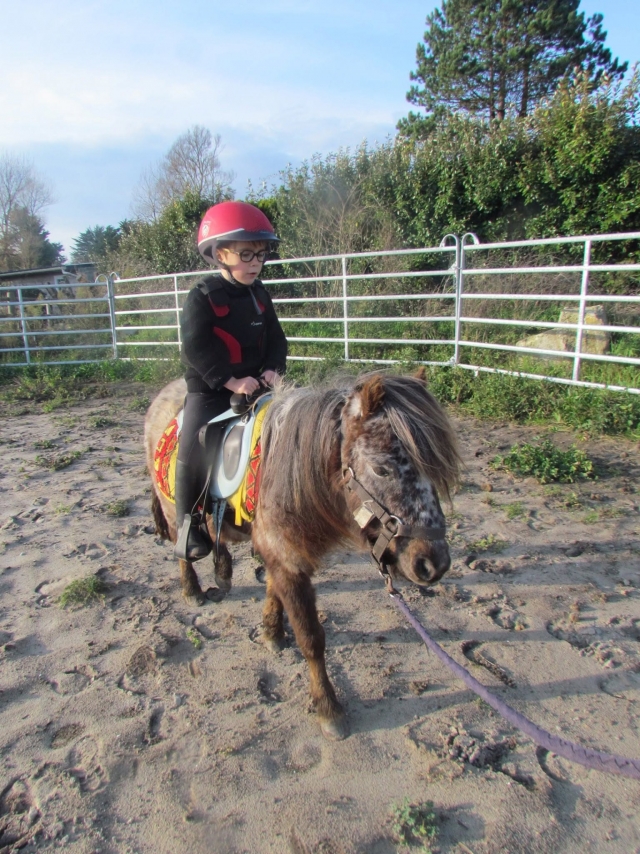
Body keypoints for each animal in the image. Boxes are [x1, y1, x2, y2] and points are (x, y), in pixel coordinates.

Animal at [144, 371, 461, 739]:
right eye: (382, 469)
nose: (434, 564)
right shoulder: (286, 558)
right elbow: (311, 638)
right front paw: (328, 709)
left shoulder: (282, 554)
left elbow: (274, 592)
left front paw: (271, 632)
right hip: (172, 508)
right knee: (183, 543)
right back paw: (192, 588)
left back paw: (223, 572)